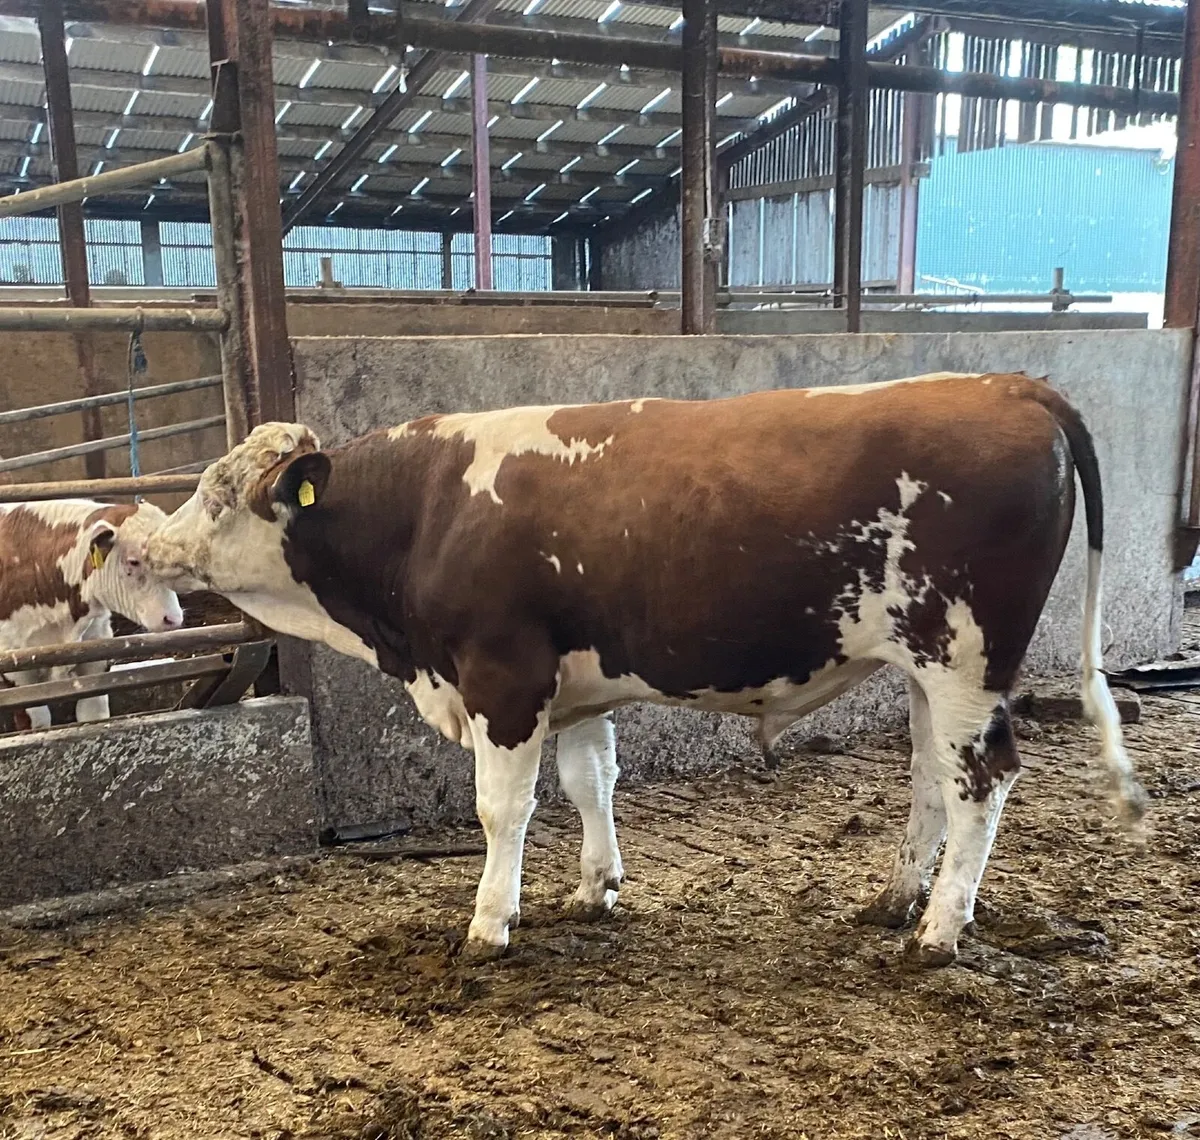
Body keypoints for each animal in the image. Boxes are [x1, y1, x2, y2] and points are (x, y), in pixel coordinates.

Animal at [0, 499, 184, 730]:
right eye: (133, 561)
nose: (173, 619)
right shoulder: (16, 668)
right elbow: (39, 722)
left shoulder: (96, 649)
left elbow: (93, 714)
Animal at [144, 371, 1145, 966]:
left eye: (220, 495)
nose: (149, 545)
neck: (429, 510)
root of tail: (1003, 384)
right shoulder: (576, 682)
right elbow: (591, 782)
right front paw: (596, 888)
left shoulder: (503, 673)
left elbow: (502, 808)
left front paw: (489, 923)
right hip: (926, 667)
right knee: (932, 777)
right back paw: (898, 900)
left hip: (965, 655)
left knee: (983, 777)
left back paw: (940, 931)